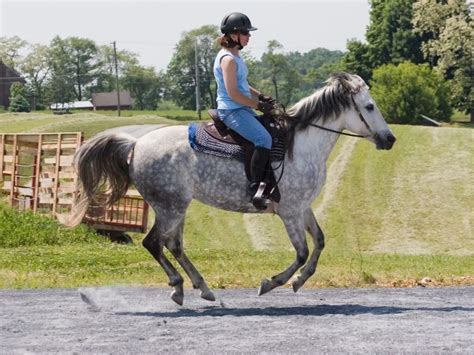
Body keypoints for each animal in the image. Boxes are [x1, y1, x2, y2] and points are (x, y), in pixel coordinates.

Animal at [64, 72, 396, 306]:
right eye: (369, 106)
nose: (390, 139)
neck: (299, 146)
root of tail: (135, 144)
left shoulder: (302, 208)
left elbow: (320, 243)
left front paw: (300, 281)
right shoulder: (289, 211)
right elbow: (302, 252)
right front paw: (271, 283)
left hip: (175, 207)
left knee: (173, 245)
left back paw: (202, 288)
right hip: (171, 206)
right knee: (154, 243)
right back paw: (179, 287)